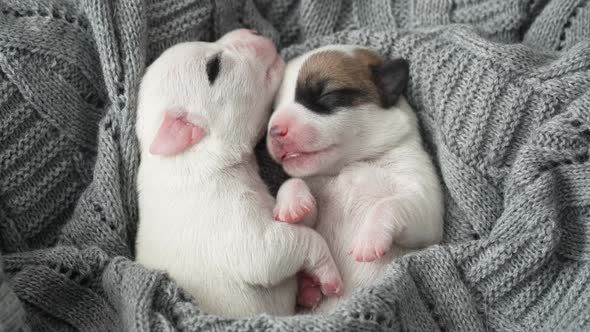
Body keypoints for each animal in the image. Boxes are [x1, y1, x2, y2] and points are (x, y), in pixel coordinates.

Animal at [135, 29, 344, 318]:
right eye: (213, 66)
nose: (254, 30)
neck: (195, 158)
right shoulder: (239, 236)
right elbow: (294, 243)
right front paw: (328, 274)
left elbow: (297, 212)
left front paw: (294, 205)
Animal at [268, 45, 444, 312]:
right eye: (273, 108)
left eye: (326, 94)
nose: (273, 131)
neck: (352, 163)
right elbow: (295, 186)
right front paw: (292, 205)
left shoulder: (426, 210)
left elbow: (388, 204)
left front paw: (369, 240)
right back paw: (308, 287)